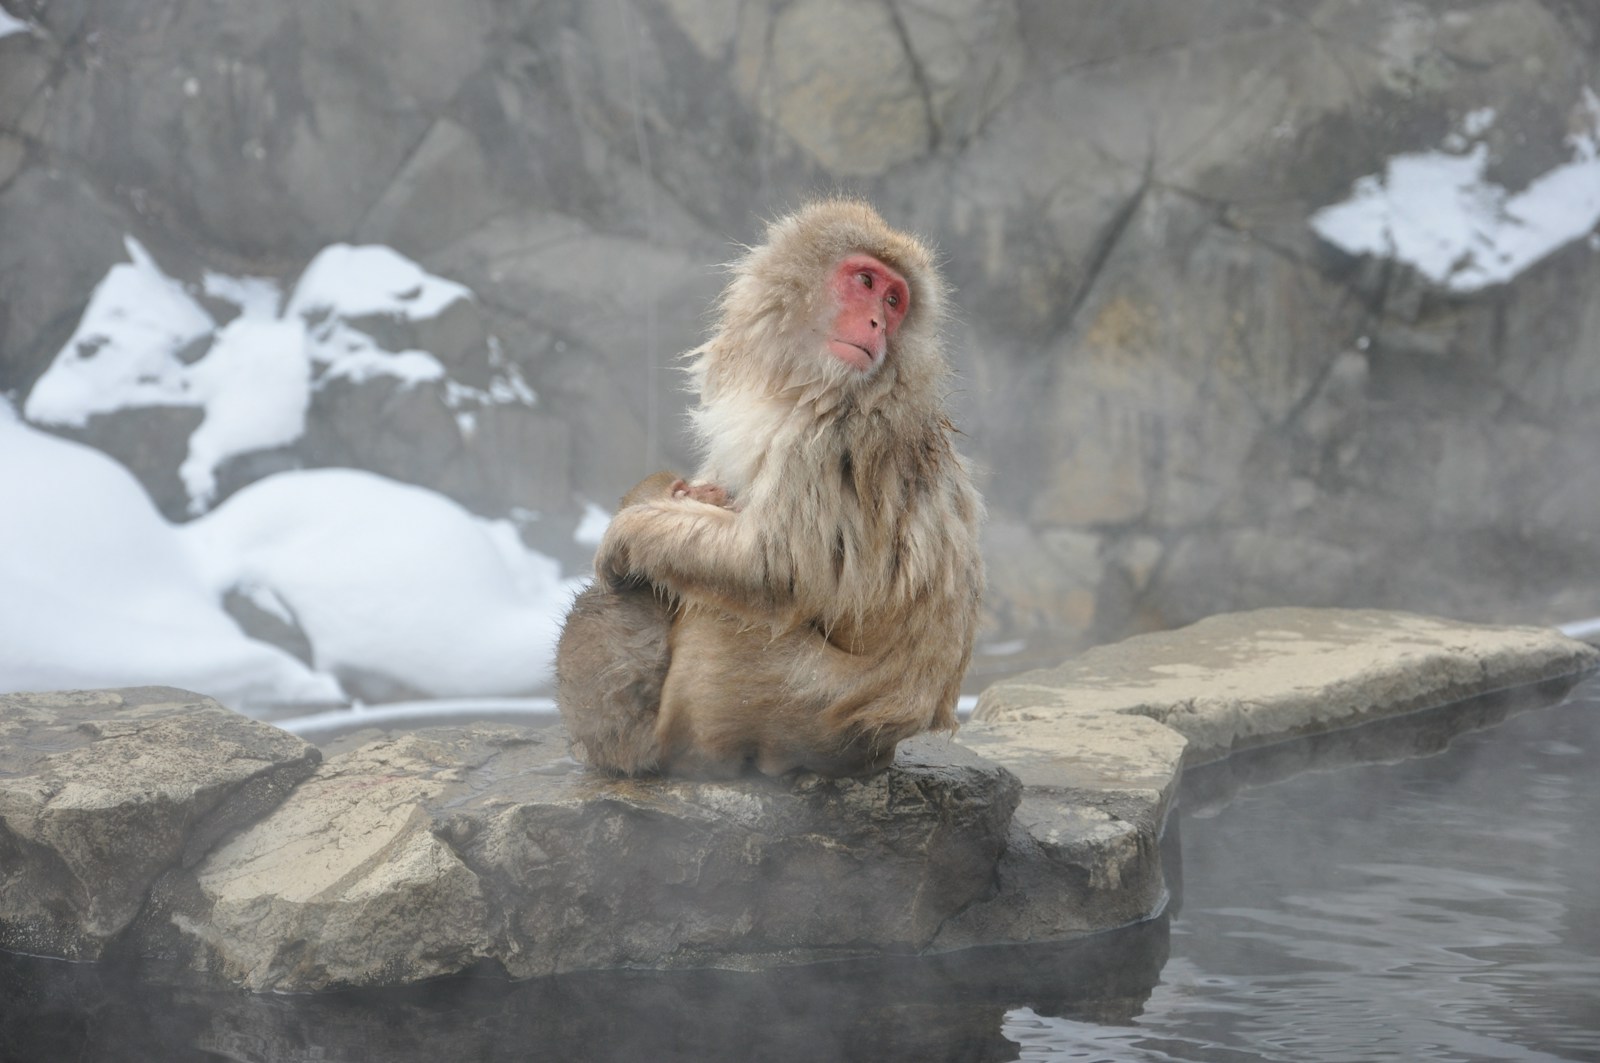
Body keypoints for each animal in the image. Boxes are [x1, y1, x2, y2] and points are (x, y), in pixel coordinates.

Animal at [563, 199, 985, 778]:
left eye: (894, 300)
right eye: (866, 281)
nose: (878, 322)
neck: (811, 386)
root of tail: (886, 744)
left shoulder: (838, 441)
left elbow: (774, 566)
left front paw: (628, 533)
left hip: (805, 709)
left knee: (725, 610)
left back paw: (660, 749)